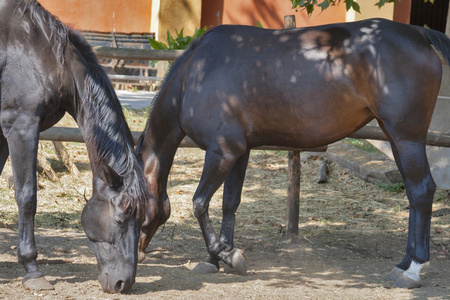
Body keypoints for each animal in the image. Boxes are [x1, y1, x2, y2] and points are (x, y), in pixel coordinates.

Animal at [0, 0, 151, 292]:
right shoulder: (21, 126)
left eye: (142, 219)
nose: (123, 283)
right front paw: (32, 269)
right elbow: (27, 197)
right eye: (120, 219)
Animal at [138, 18, 450, 288]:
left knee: (422, 190)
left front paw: (225, 255)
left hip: (407, 139)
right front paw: (216, 257)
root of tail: (418, 34)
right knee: (413, 195)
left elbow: (200, 203)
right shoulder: (239, 152)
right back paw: (403, 263)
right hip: (395, 137)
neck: (194, 76)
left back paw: (413, 270)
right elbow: (229, 204)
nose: (137, 253)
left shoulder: (222, 152)